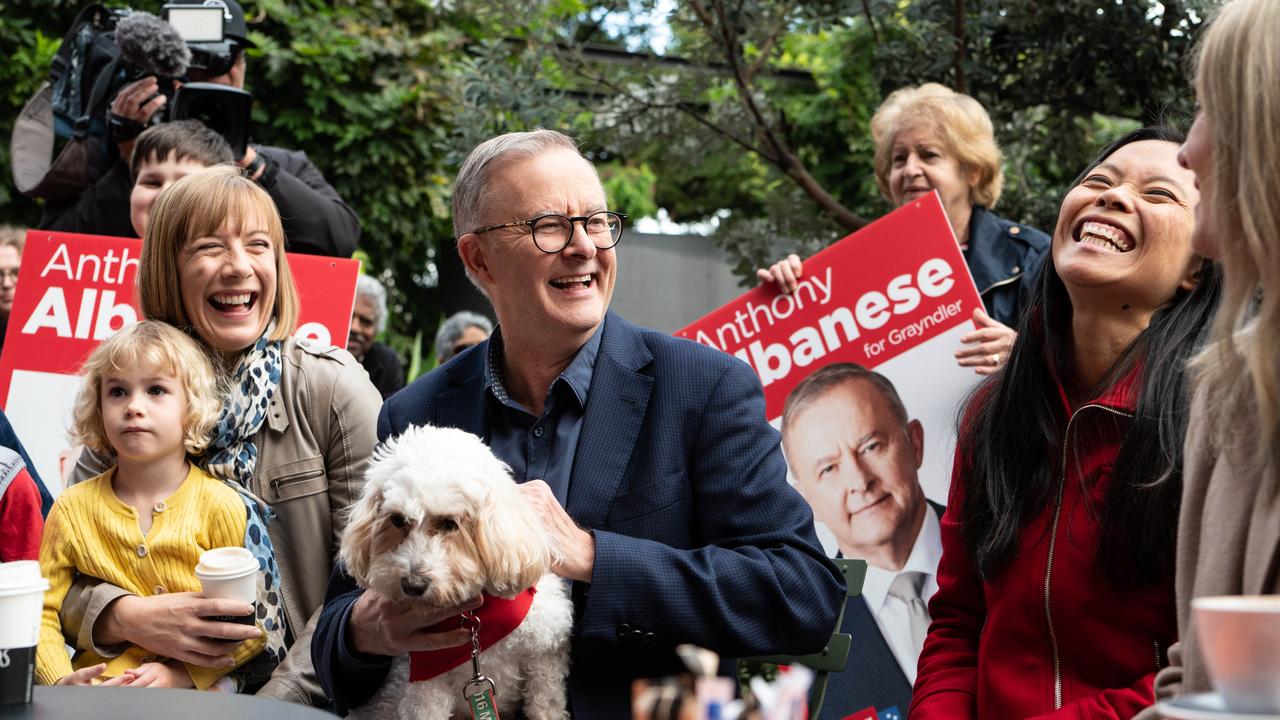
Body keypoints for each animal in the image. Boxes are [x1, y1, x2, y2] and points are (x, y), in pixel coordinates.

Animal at [340, 422, 570, 712]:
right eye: (398, 520)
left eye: (450, 523)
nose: (412, 585)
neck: (475, 621)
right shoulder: (426, 682)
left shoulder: (544, 656)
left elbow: (546, 705)